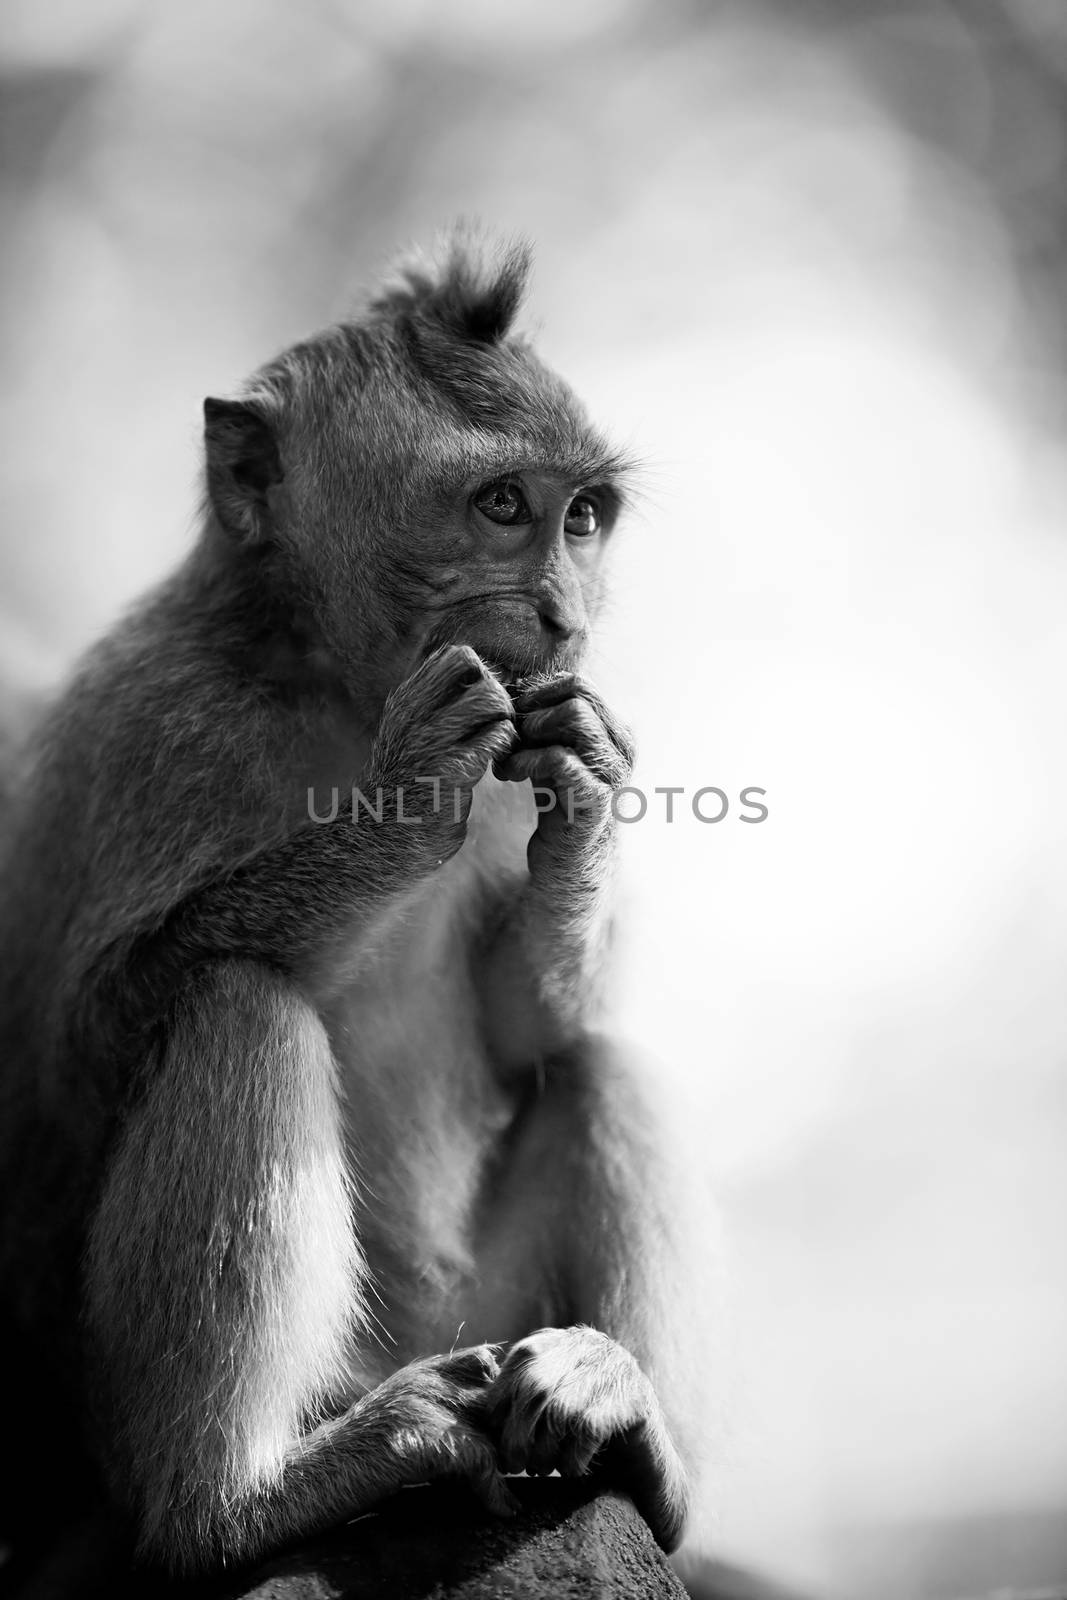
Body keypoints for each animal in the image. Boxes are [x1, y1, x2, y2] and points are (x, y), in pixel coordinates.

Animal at [2, 232, 716, 1580]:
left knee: (599, 1061)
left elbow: (531, 1032)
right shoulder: (156, 725)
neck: (331, 680)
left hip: (484, 1315)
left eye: (582, 515)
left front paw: (590, 788)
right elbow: (82, 1049)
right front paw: (403, 797)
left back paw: (632, 1431)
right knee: (239, 1002)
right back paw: (236, 1500)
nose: (564, 613)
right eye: (501, 506)